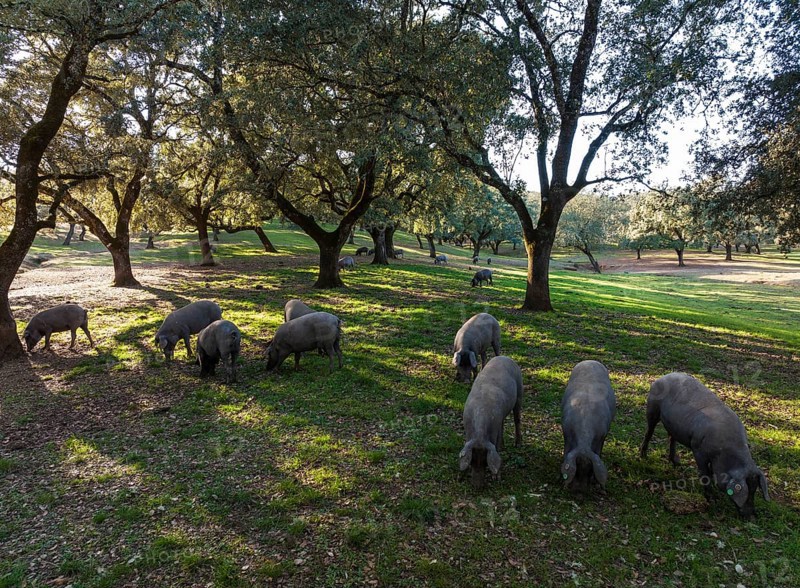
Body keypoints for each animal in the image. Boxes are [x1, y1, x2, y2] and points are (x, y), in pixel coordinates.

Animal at [459, 356, 523, 488]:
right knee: (504, 424)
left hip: (520, 391)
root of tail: (505, 357)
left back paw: (518, 444)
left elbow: (496, 446)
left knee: (517, 419)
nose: (477, 486)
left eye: (485, 463)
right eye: (472, 462)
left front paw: (496, 478)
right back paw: (504, 446)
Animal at [560, 360, 616, 493]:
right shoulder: (566, 433)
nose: (580, 489)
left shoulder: (602, 436)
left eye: (591, 470)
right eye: (577, 469)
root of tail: (590, 360)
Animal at [639, 372, 770, 517]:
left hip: (673, 425)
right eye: (747, 492)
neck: (725, 453)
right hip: (652, 409)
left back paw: (677, 463)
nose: (752, 516)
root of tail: (663, 377)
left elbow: (712, 473)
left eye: (754, 490)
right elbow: (705, 474)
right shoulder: (698, 450)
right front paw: (711, 499)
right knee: (649, 432)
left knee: (671, 439)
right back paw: (643, 456)